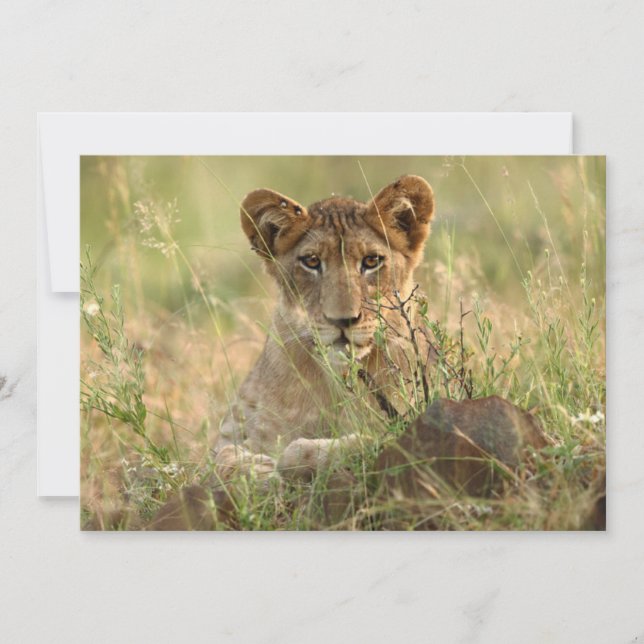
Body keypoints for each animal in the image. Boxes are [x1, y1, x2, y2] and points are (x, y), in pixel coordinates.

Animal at [213, 175, 435, 482]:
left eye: (371, 261)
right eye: (312, 261)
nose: (342, 320)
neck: (337, 381)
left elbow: (359, 442)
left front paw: (292, 459)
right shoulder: (235, 430)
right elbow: (220, 457)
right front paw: (257, 470)